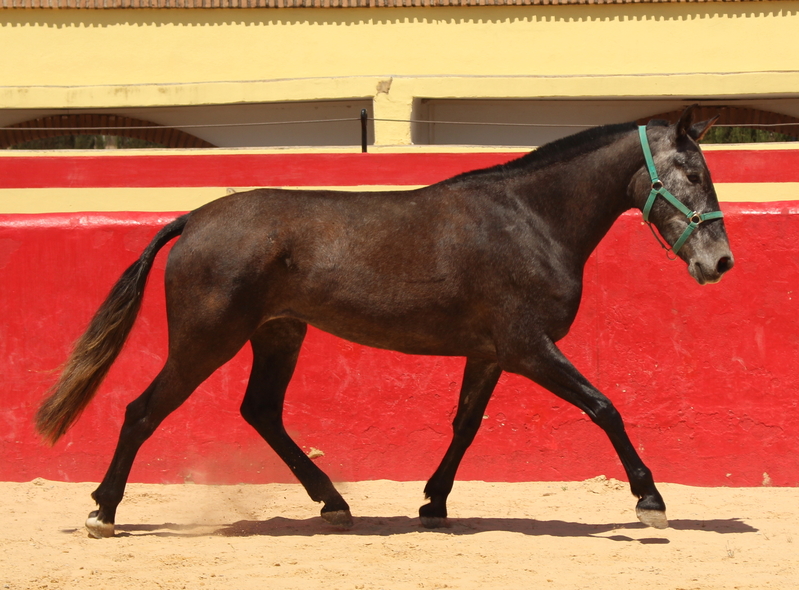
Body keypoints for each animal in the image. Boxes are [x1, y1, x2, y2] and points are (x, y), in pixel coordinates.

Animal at [36, 106, 734, 538]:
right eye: (693, 173)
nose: (720, 261)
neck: (529, 219)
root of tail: (192, 220)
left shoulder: (490, 353)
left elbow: (465, 427)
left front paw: (433, 502)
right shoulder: (528, 347)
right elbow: (604, 407)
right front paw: (650, 500)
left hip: (278, 334)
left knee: (261, 411)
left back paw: (334, 503)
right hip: (205, 341)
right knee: (142, 411)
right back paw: (103, 511)